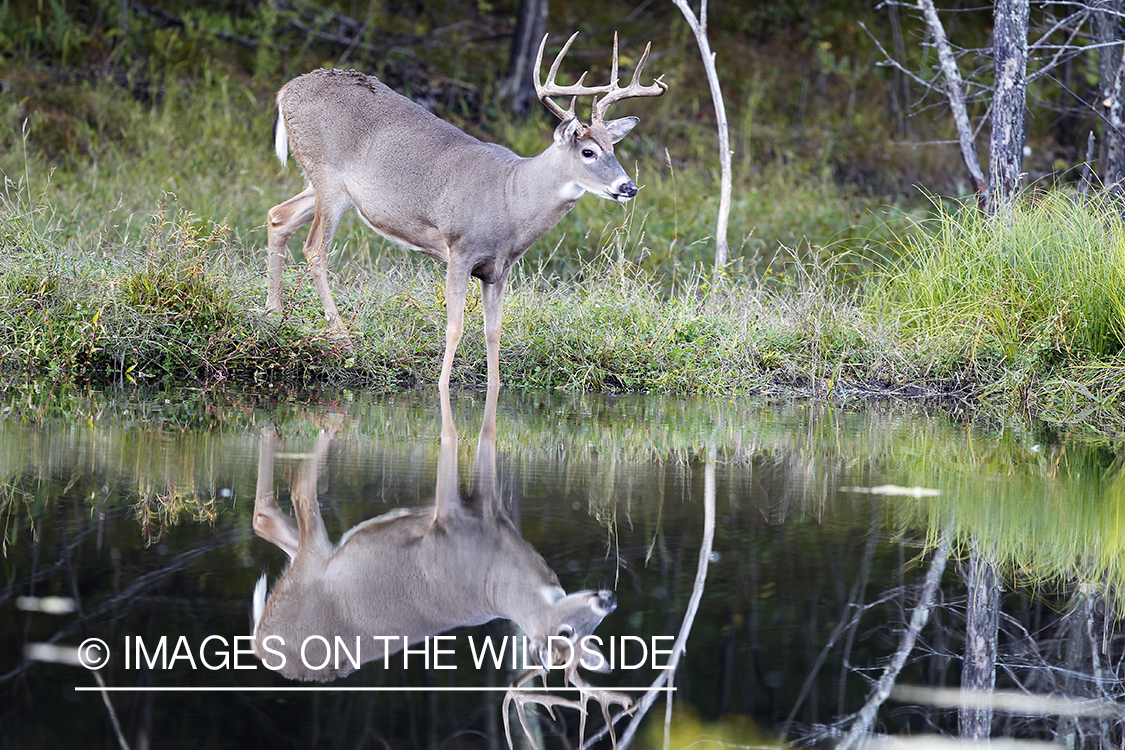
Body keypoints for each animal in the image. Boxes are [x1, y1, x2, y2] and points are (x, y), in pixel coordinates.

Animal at [266, 33, 661, 398]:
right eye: (589, 152)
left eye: (614, 149)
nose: (629, 187)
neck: (510, 197)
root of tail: (285, 91)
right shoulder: (459, 250)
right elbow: (454, 326)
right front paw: (442, 385)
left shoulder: (499, 269)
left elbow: (493, 331)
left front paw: (494, 387)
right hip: (328, 175)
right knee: (315, 250)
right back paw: (342, 339)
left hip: (325, 185)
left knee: (277, 215)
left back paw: (273, 316)